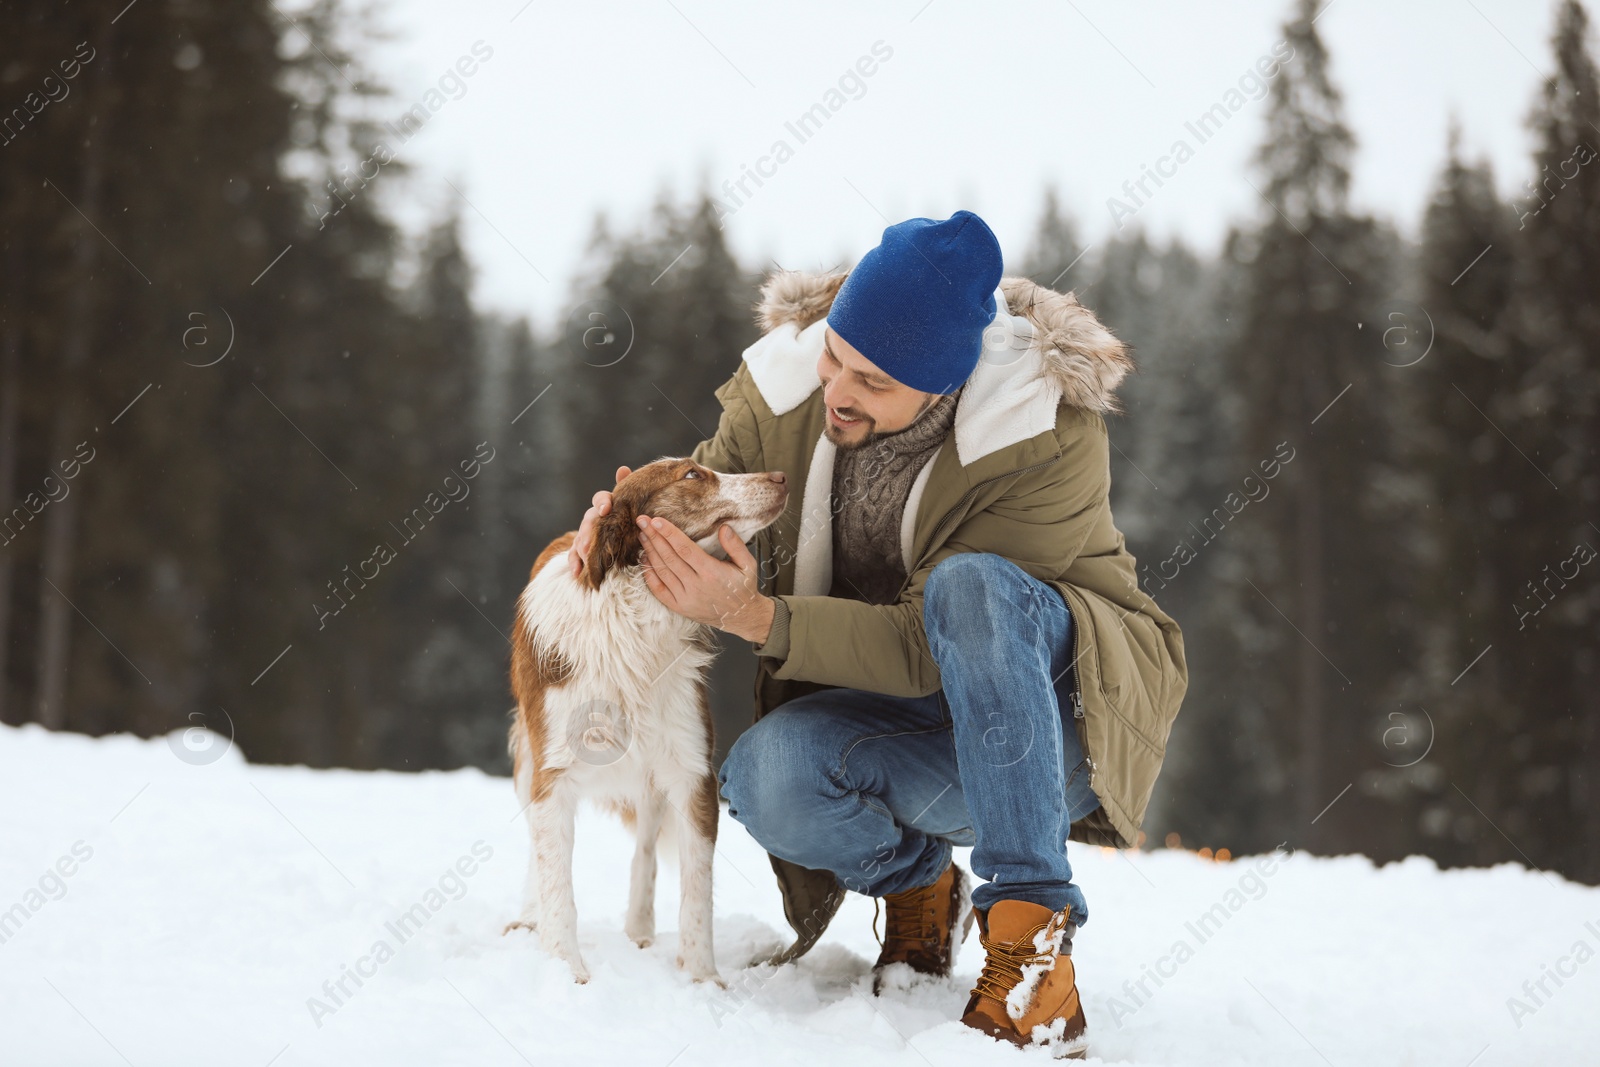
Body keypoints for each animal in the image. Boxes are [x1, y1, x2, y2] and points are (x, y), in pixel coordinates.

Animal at [505, 457, 787, 985]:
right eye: (692, 475)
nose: (780, 478)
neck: (636, 622)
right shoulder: (553, 775)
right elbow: (556, 880)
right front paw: (567, 970)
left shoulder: (691, 772)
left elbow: (696, 892)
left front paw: (702, 980)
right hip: (528, 760)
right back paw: (528, 919)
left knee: (646, 847)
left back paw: (639, 929)